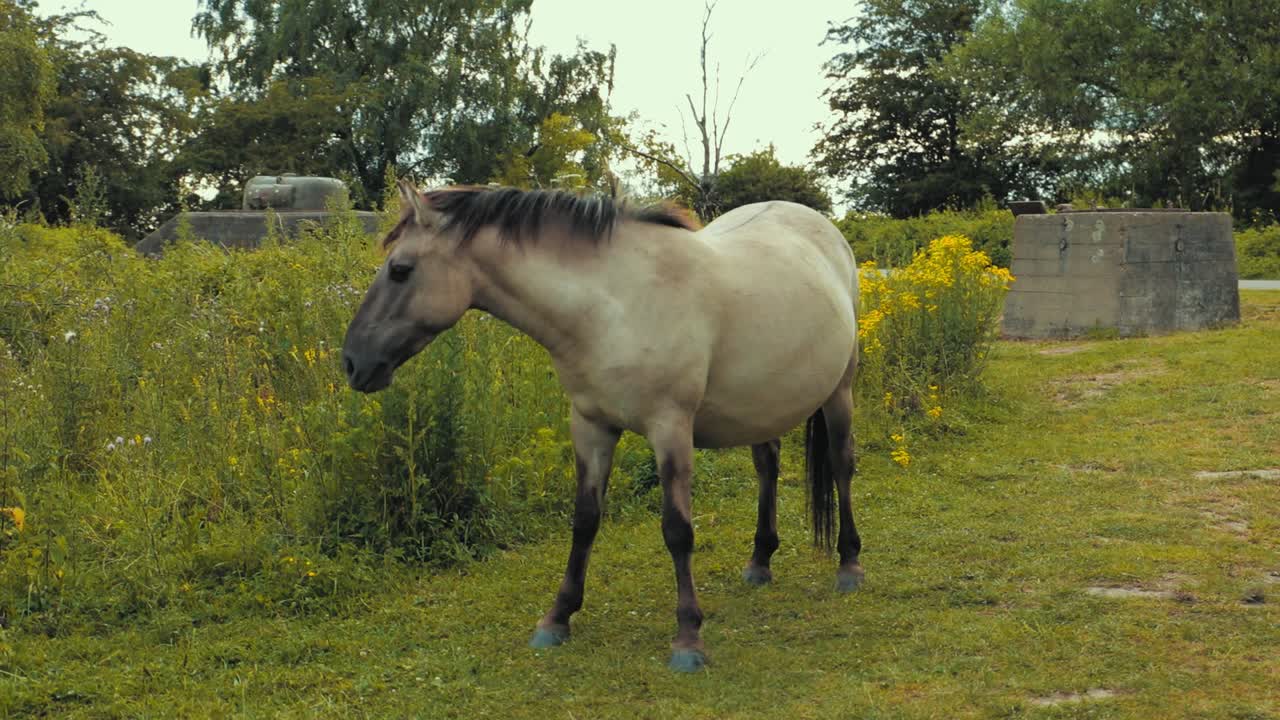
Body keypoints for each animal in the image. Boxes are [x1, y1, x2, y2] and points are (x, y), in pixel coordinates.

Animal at [342, 179, 863, 673]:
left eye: (401, 269)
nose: (352, 363)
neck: (614, 306)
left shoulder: (670, 428)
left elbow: (677, 530)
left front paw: (688, 639)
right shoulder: (591, 425)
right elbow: (585, 520)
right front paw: (557, 618)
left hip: (839, 392)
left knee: (841, 466)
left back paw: (849, 564)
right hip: (761, 405)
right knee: (767, 468)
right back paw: (760, 560)